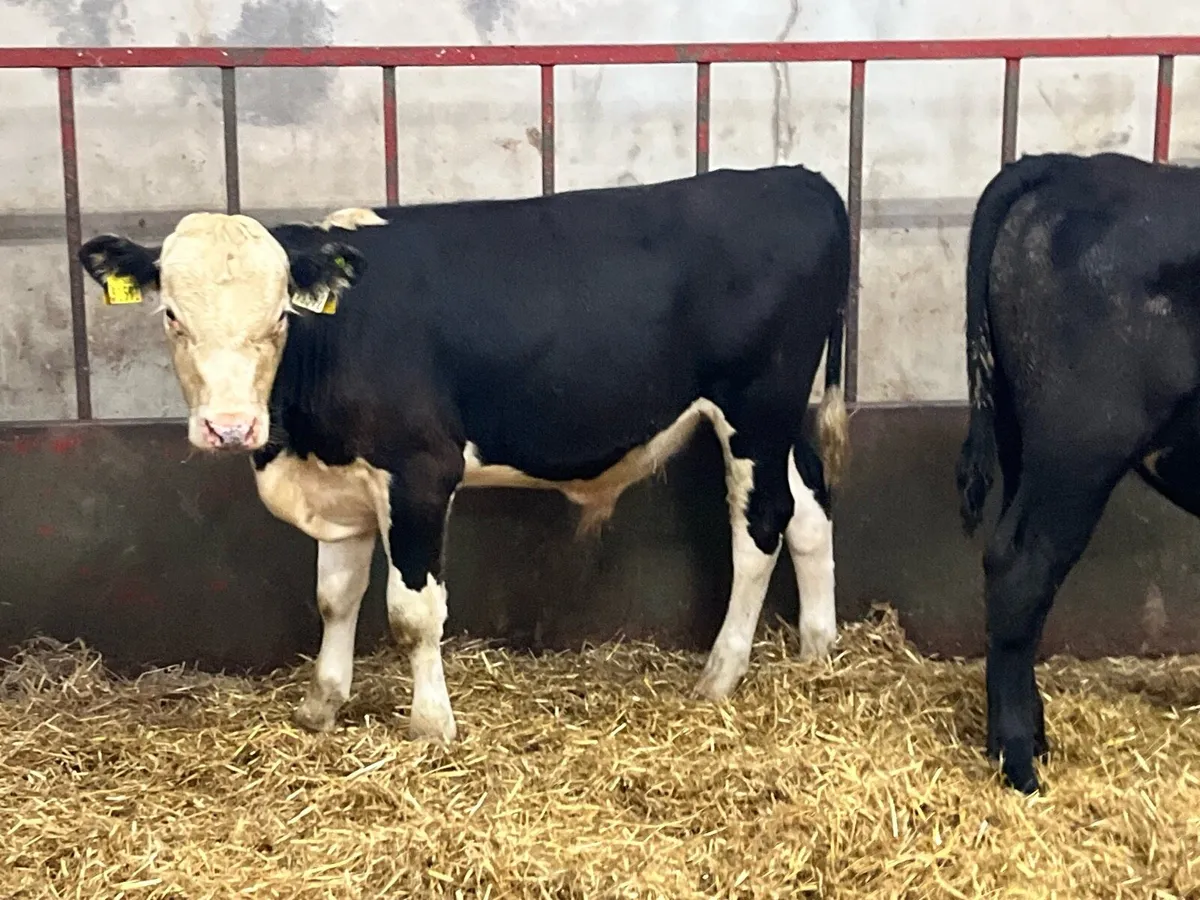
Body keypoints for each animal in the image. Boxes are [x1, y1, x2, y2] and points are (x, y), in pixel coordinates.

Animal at [79, 164, 851, 741]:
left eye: (280, 318)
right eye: (171, 316)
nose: (231, 427)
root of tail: (794, 178)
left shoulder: (419, 471)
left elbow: (411, 613)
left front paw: (430, 726)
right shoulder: (345, 485)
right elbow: (334, 598)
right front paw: (321, 706)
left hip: (754, 408)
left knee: (761, 527)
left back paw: (720, 676)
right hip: (779, 418)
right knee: (809, 510)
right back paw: (818, 651)